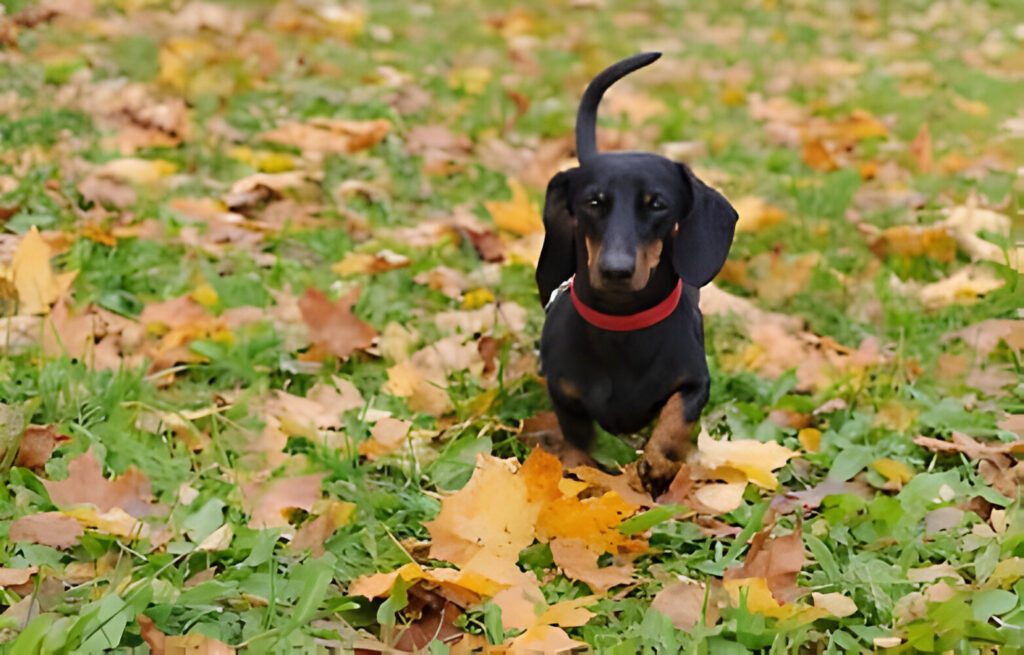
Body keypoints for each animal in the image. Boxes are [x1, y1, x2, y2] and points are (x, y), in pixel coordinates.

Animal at [536, 52, 737, 491]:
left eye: (657, 204)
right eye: (593, 201)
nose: (616, 269)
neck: (621, 325)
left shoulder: (696, 383)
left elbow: (677, 416)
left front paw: (659, 464)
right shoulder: (565, 394)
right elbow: (579, 439)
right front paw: (579, 472)